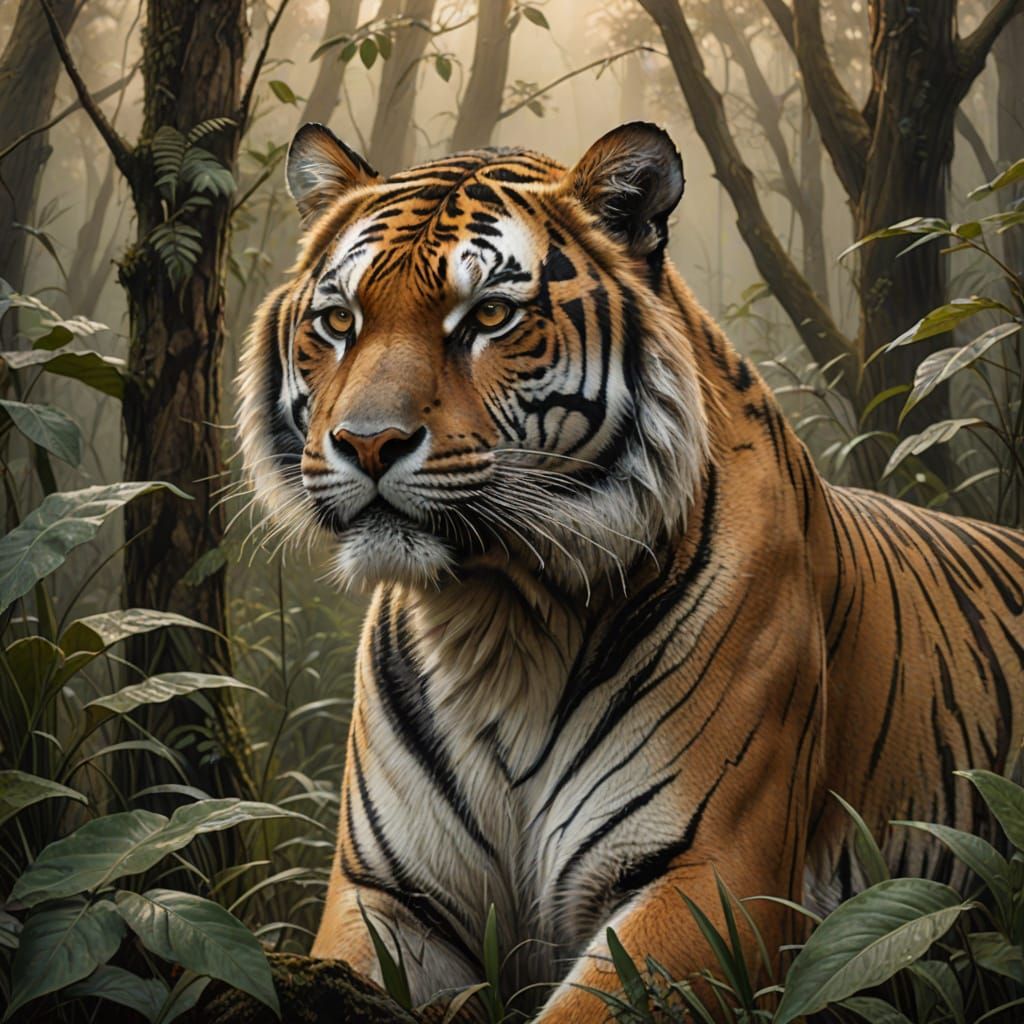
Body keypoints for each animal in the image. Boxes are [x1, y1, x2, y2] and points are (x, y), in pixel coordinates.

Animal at [238, 120, 1024, 1020]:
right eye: (339, 320)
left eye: (491, 315)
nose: (368, 444)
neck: (497, 616)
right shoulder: (386, 895)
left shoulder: (709, 876)